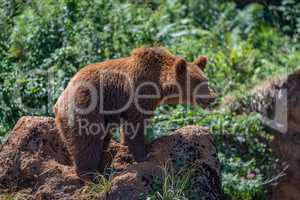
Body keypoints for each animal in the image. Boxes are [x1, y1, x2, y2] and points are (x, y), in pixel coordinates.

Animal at [52, 47, 214, 178]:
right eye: (197, 83)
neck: (158, 83)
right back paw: (91, 175)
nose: (212, 97)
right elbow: (135, 124)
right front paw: (144, 155)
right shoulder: (136, 94)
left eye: (206, 80)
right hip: (85, 107)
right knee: (87, 141)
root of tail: (59, 100)